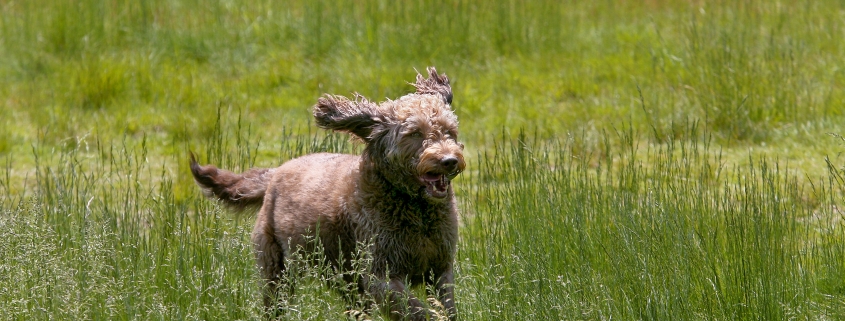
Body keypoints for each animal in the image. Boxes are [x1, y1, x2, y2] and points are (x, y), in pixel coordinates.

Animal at [190, 67, 464, 318]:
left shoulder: (440, 269)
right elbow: (420, 311)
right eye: (414, 133)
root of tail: (275, 172)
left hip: (342, 277)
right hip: (276, 269)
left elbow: (446, 307)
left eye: (449, 131)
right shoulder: (380, 275)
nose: (449, 160)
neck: (417, 210)